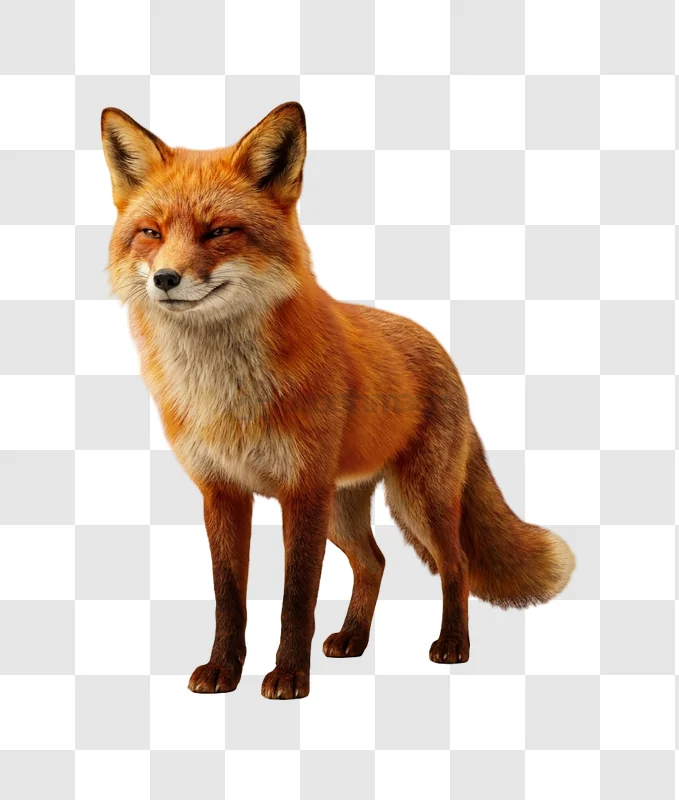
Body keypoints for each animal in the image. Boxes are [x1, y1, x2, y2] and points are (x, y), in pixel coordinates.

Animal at [101, 102, 575, 700]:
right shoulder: (223, 491)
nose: (165, 278)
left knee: (456, 564)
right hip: (344, 508)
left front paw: (288, 677)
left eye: (220, 231)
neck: (226, 396)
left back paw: (453, 644)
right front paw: (223, 670)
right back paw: (353, 638)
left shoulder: (302, 491)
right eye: (150, 232)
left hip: (417, 500)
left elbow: (296, 599)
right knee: (374, 563)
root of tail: (437, 346)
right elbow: (228, 598)